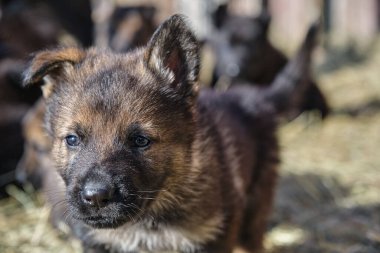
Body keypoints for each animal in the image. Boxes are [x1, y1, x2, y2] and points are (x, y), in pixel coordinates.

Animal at [23, 14, 318, 253]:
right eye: (72, 139)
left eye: (140, 140)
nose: (95, 197)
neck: (149, 220)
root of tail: (253, 96)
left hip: (253, 212)